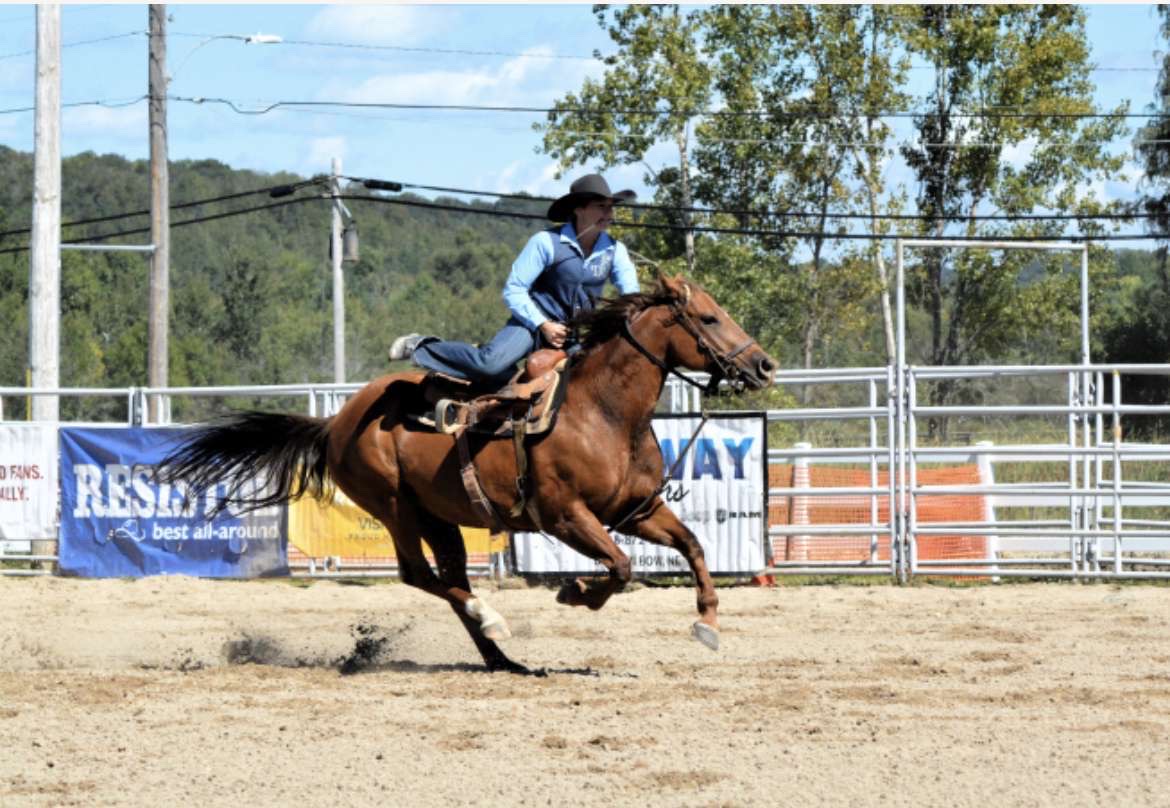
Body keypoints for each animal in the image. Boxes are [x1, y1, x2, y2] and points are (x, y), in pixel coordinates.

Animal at [157, 274, 776, 673]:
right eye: (708, 317)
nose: (764, 364)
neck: (602, 412)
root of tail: (337, 420)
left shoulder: (636, 509)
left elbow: (692, 545)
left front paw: (708, 624)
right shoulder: (563, 516)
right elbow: (621, 567)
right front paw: (574, 592)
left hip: (440, 517)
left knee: (449, 580)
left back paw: (503, 657)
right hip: (395, 508)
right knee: (421, 576)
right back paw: (494, 620)